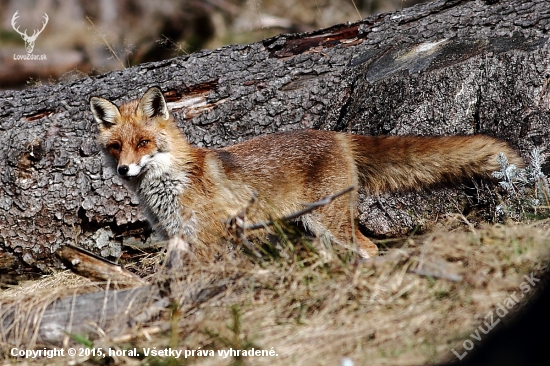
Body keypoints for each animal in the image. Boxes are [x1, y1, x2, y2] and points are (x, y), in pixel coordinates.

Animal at [89, 86, 528, 258]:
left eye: (144, 142)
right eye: (116, 147)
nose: (125, 169)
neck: (169, 186)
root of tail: (337, 134)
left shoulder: (209, 236)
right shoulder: (180, 238)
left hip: (327, 222)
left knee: (368, 248)